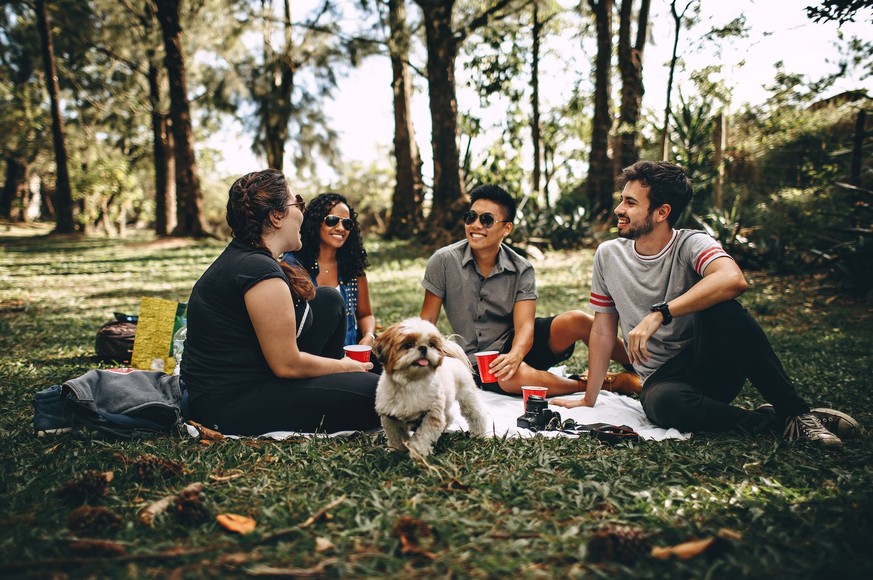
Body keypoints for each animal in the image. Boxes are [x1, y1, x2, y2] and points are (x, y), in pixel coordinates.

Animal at [372, 318, 488, 458]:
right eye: (408, 344)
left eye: (431, 345)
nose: (423, 348)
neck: (411, 382)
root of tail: (452, 358)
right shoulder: (390, 417)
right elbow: (395, 436)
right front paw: (396, 450)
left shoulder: (431, 414)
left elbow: (422, 436)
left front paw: (418, 453)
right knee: (448, 416)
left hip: (467, 397)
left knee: (477, 415)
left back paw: (478, 434)